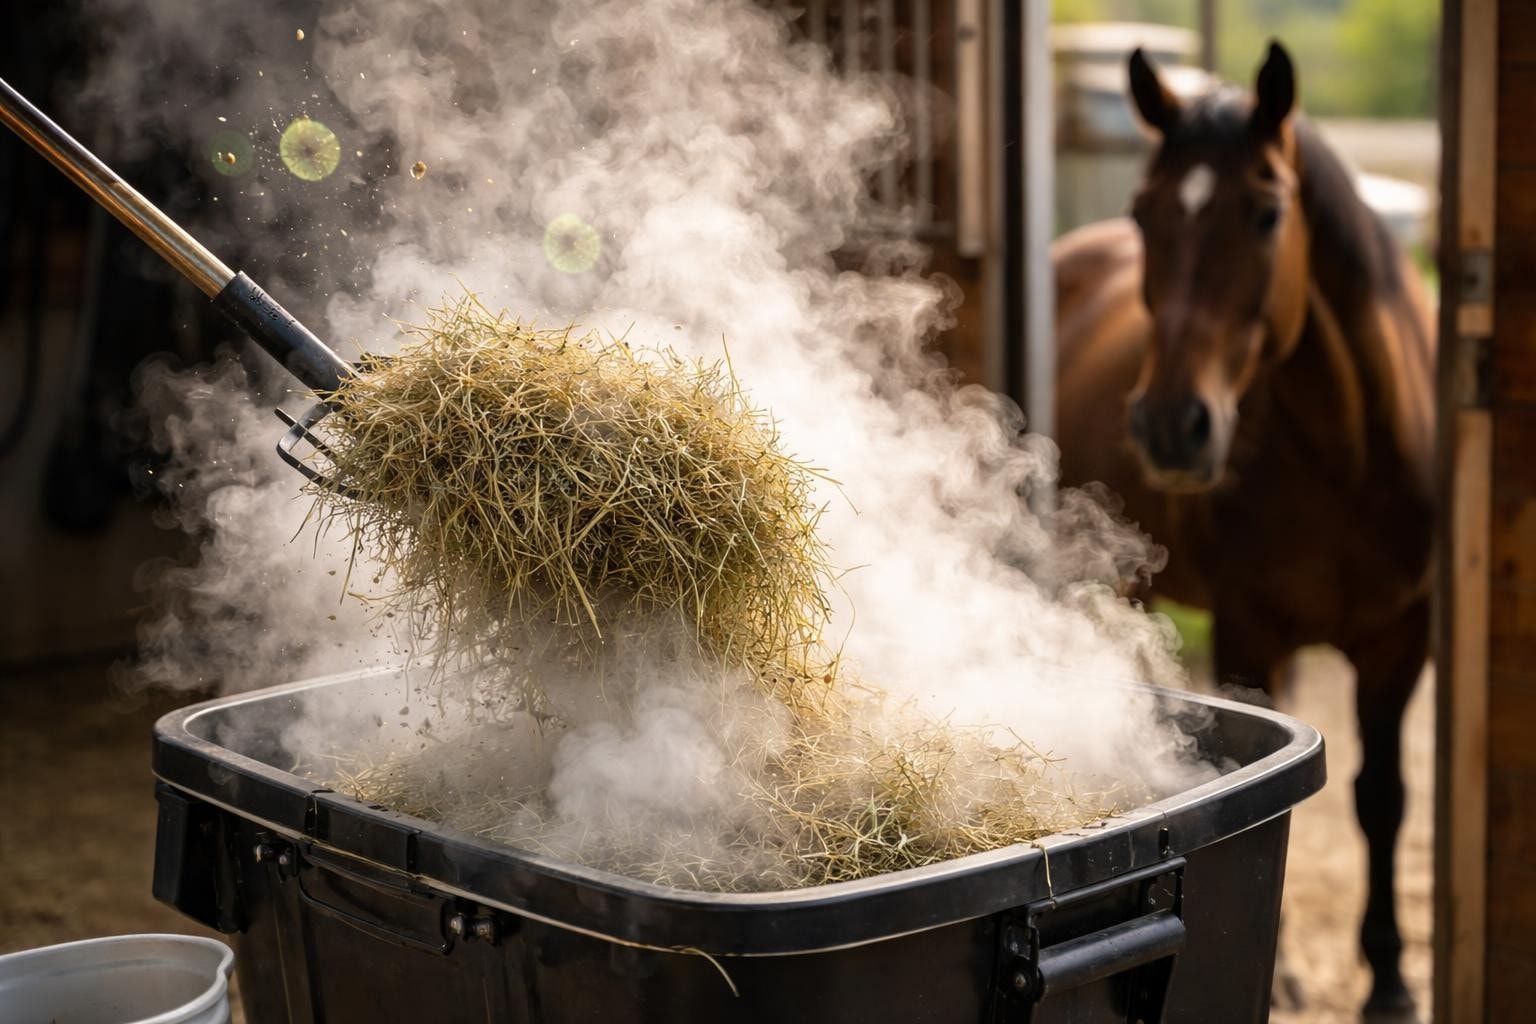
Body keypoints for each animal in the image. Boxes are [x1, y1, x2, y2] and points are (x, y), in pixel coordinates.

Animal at [1053, 42, 1435, 1019]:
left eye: (1267, 214)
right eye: (1145, 212)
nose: (1169, 424)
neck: (1348, 452)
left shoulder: (1401, 640)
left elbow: (1383, 795)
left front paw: (1389, 980)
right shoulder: (1249, 629)